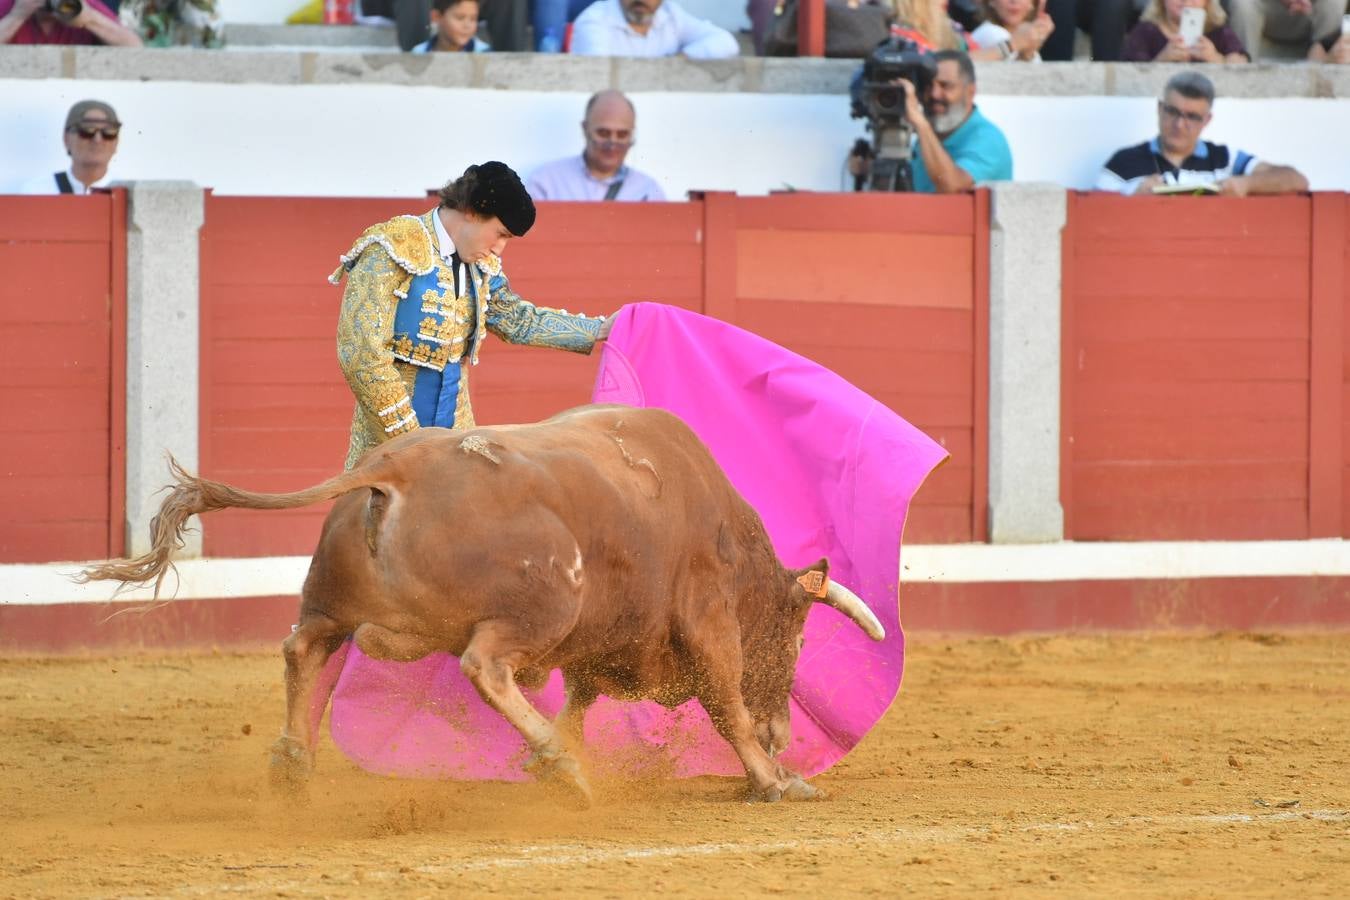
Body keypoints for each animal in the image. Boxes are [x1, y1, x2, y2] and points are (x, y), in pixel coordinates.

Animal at [84, 404, 885, 804]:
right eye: (796, 637)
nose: (786, 734)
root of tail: (391, 465)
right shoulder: (706, 619)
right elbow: (724, 700)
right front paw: (776, 781)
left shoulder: (604, 640)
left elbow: (583, 695)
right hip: (541, 607)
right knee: (483, 667)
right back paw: (563, 771)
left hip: (333, 604)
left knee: (303, 649)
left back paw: (292, 764)